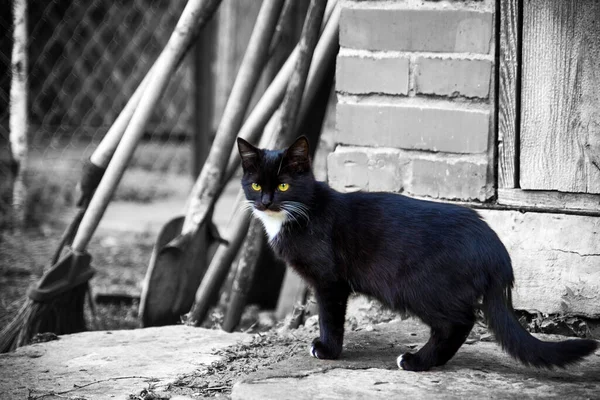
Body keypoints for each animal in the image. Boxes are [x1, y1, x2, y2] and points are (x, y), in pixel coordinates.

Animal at [237, 135, 596, 372]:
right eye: (255, 185)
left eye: (283, 186)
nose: (266, 201)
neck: (299, 213)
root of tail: (495, 248)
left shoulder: (329, 281)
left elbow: (329, 317)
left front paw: (327, 350)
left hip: (416, 286)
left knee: (458, 322)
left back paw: (416, 361)